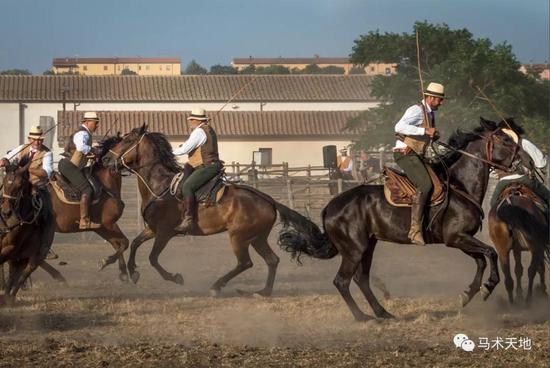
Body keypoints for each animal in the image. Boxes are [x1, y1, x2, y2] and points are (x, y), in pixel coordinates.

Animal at [278, 119, 524, 320]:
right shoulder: (456, 238)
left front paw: (468, 294)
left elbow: (482, 259)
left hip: (368, 246)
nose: (522, 161)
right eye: (504, 139)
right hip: (354, 249)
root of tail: (330, 206)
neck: (459, 185)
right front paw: (488, 287)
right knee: (342, 281)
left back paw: (383, 313)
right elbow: (491, 253)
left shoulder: (459, 240)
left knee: (361, 279)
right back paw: (362, 317)